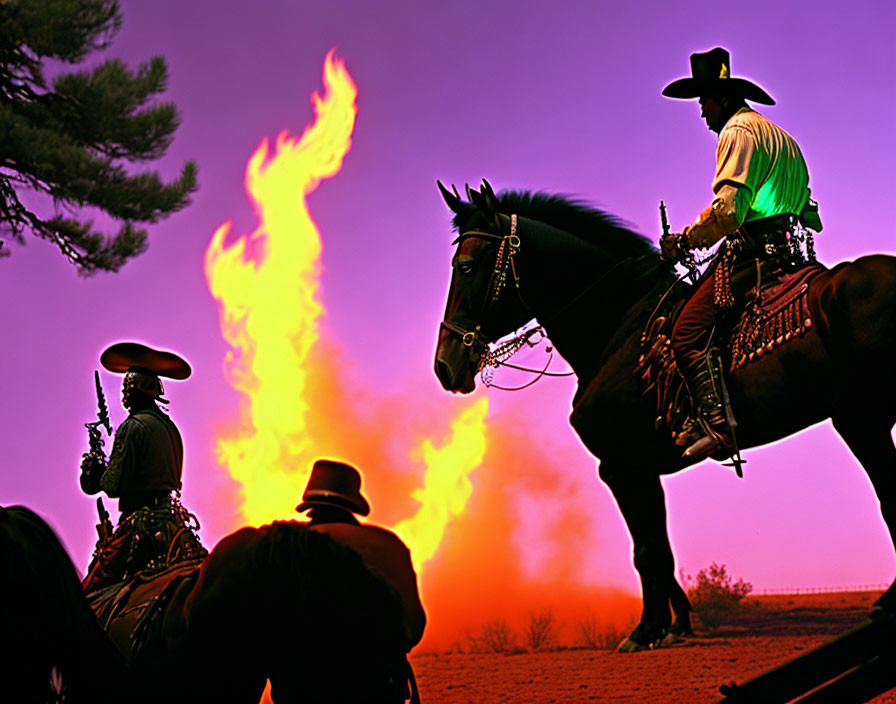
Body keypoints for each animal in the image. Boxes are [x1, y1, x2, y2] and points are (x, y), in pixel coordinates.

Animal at [432, 179, 896, 652]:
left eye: (465, 266)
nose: (445, 365)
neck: (616, 329)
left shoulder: (620, 468)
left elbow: (646, 552)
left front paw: (644, 631)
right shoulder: (641, 471)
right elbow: (663, 550)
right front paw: (675, 626)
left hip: (861, 419)